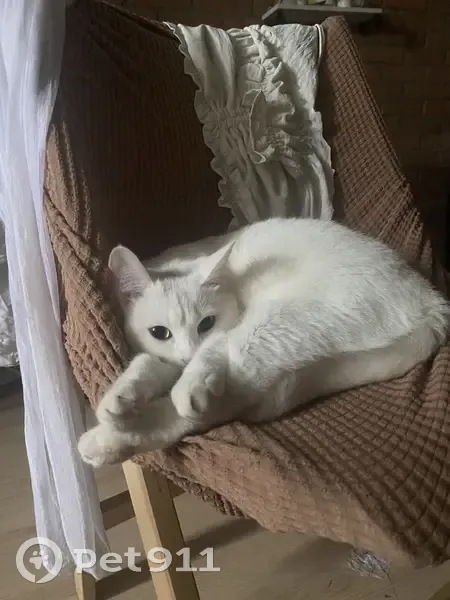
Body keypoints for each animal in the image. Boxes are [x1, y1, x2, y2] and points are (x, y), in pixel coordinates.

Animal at [78, 217, 450, 467]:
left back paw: (108, 438)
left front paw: (185, 382)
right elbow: (147, 362)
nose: (187, 355)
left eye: (206, 323)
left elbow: (209, 352)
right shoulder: (162, 355)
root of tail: (433, 301)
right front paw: (121, 396)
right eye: (159, 332)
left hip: (275, 321)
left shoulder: (226, 329)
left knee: (221, 401)